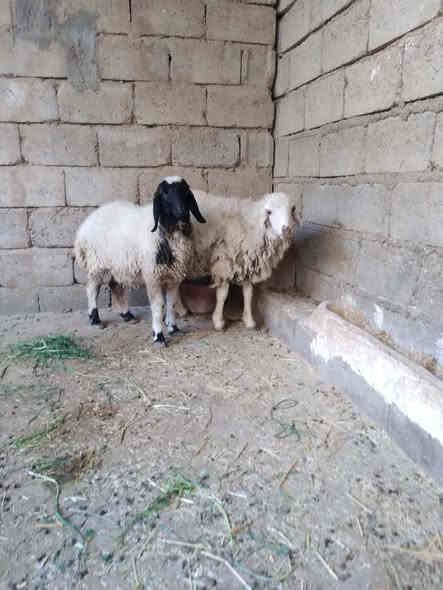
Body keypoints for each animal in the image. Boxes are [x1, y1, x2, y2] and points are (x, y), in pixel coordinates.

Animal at [74, 177, 206, 345]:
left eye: (185, 191)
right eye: (165, 194)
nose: (181, 211)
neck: (164, 229)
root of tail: (84, 226)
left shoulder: (174, 275)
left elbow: (171, 303)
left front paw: (173, 328)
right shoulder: (152, 276)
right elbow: (158, 305)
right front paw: (158, 335)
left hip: (117, 264)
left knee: (115, 286)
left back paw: (126, 315)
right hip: (97, 263)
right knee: (92, 289)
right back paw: (95, 319)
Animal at [176, 190, 301, 331]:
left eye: (292, 209)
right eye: (269, 212)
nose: (286, 229)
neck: (251, 225)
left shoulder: (247, 261)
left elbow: (248, 293)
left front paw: (249, 320)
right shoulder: (224, 262)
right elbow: (222, 294)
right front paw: (218, 321)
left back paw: (180, 309)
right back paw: (180, 310)